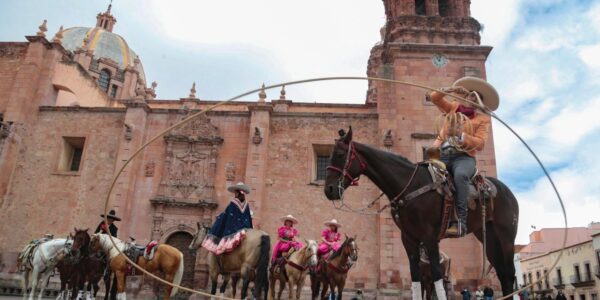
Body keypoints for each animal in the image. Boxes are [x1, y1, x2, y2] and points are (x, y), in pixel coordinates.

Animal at [324, 127, 520, 298]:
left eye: (340, 155)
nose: (329, 189)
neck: (410, 185)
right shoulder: (409, 240)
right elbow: (416, 281)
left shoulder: (430, 238)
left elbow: (437, 281)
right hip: (488, 237)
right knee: (503, 274)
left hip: (506, 237)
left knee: (509, 272)